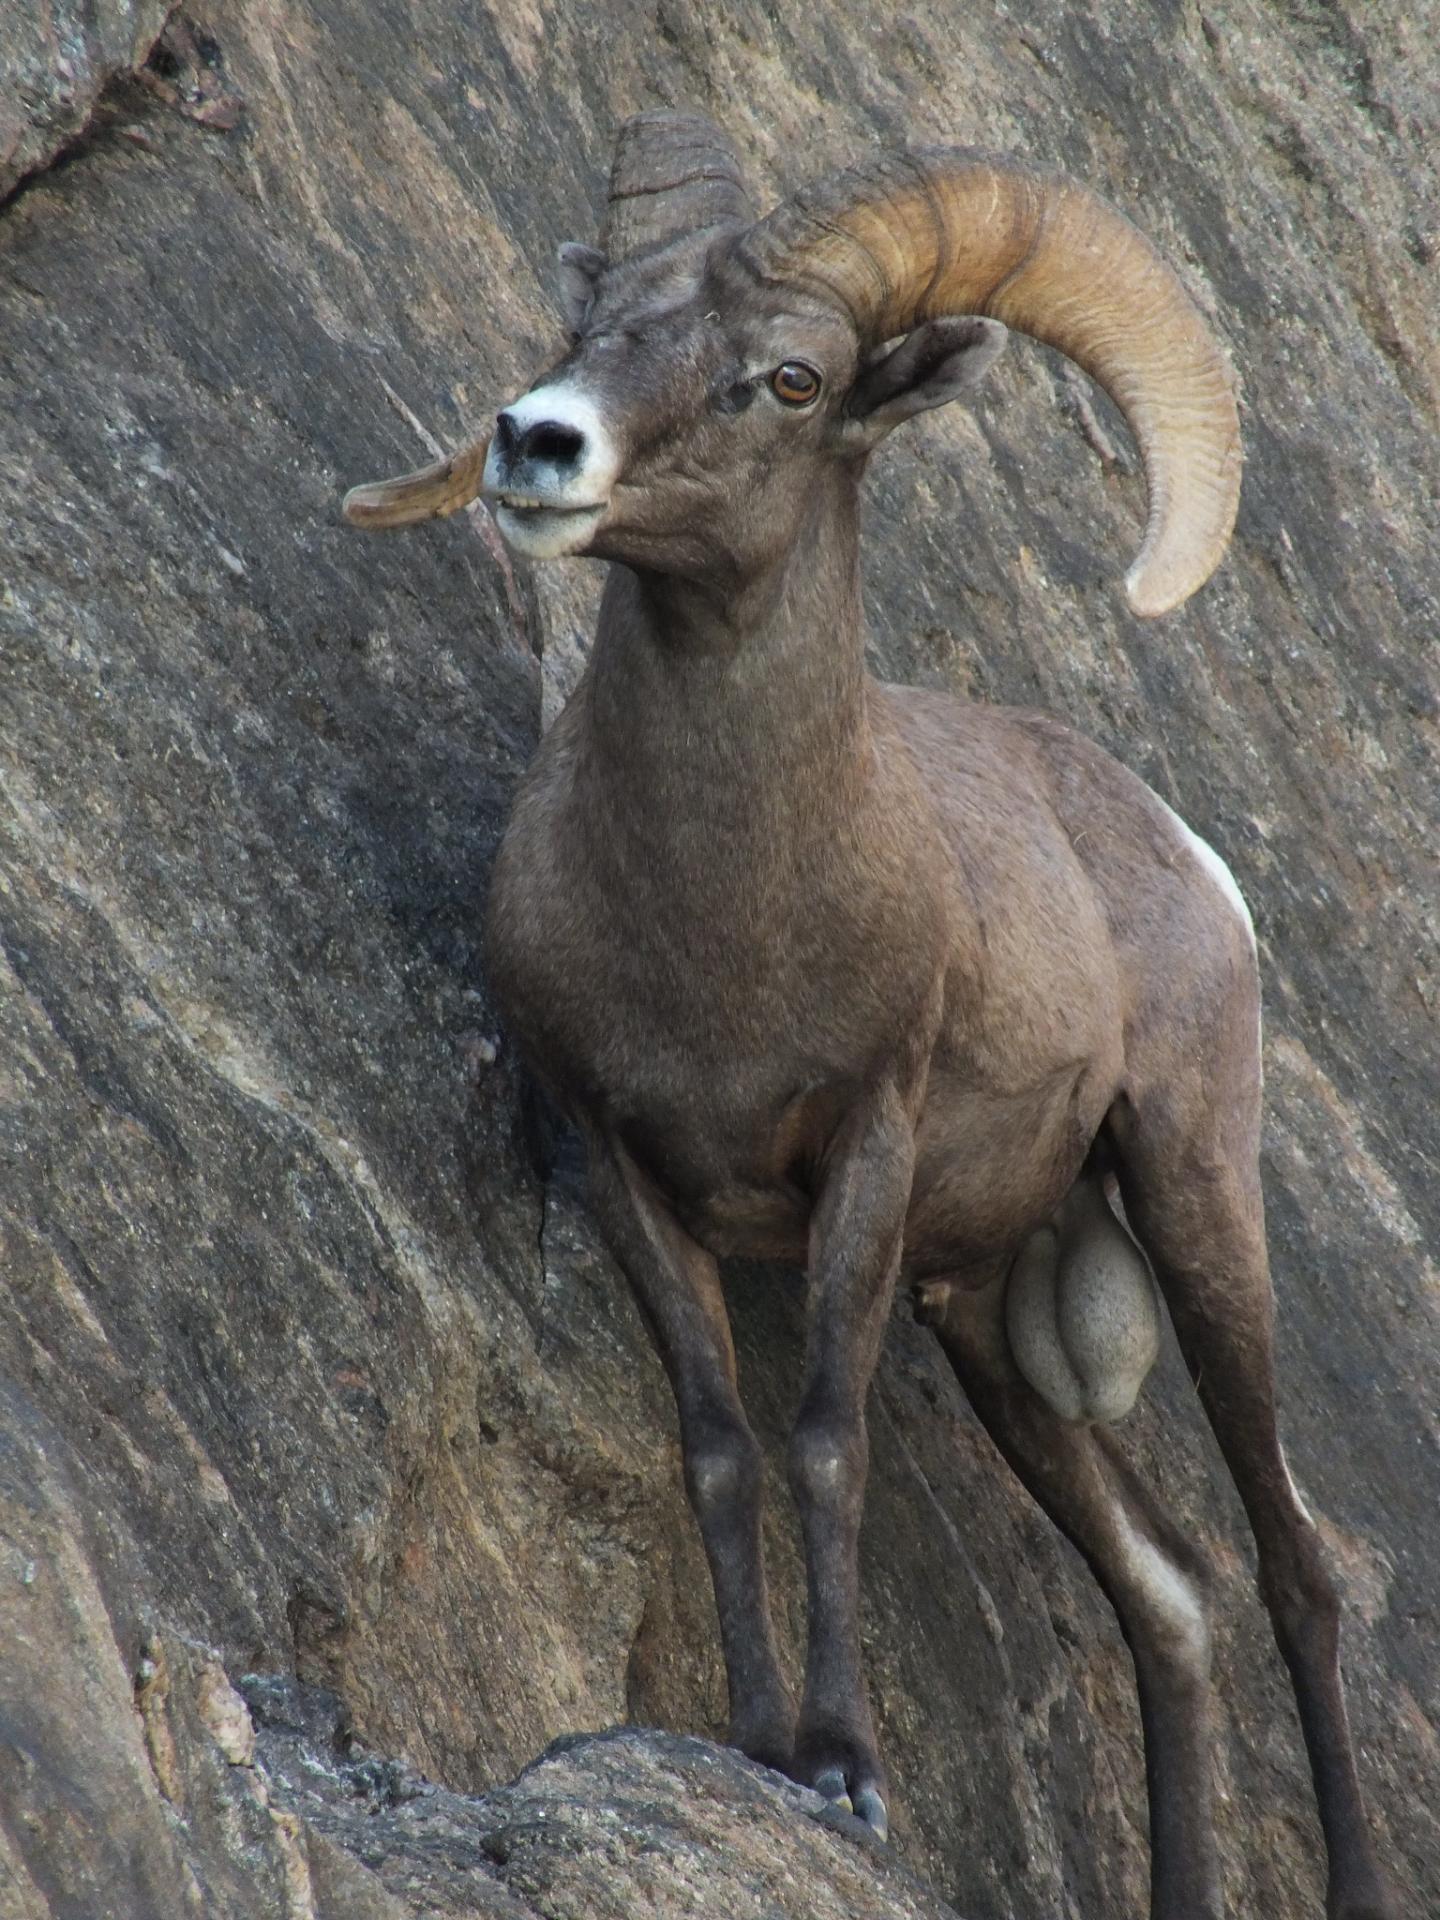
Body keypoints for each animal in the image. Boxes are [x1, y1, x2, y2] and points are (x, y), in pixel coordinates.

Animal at [343, 116, 1390, 1920]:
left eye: (789, 377)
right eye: (591, 322)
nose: (535, 442)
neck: (725, 923)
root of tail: (1183, 856)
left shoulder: (866, 1155)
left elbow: (826, 1440)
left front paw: (841, 1769)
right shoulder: (622, 1166)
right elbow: (720, 1447)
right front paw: (759, 1743)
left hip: (1193, 1200)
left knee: (1293, 1570)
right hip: (983, 1320)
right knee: (1170, 1595)